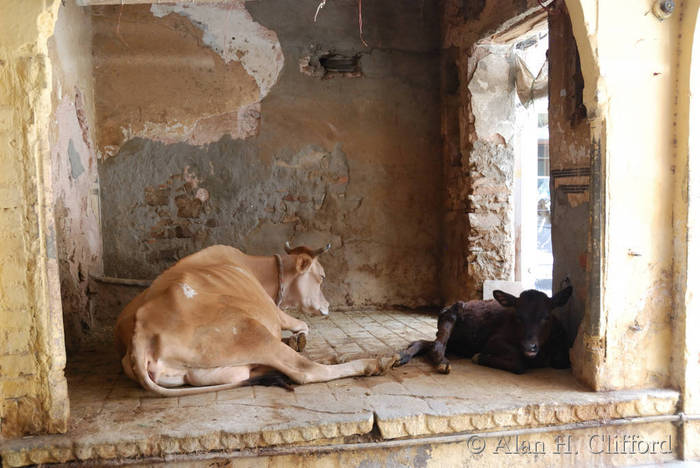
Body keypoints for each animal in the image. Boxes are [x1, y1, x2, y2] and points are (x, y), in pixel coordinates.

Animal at [115, 243, 397, 396]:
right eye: (323, 277)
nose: (327, 306)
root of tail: (139, 336)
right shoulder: (276, 312)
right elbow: (302, 324)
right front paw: (299, 337)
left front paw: (298, 341)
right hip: (250, 332)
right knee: (305, 370)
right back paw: (373, 363)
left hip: (217, 370)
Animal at [394, 285, 573, 375]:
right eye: (518, 316)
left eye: (547, 317)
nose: (529, 347)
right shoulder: (493, 341)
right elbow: (519, 364)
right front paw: (479, 357)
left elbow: (561, 362)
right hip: (451, 313)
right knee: (437, 345)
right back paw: (442, 363)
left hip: (456, 340)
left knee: (425, 343)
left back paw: (403, 356)